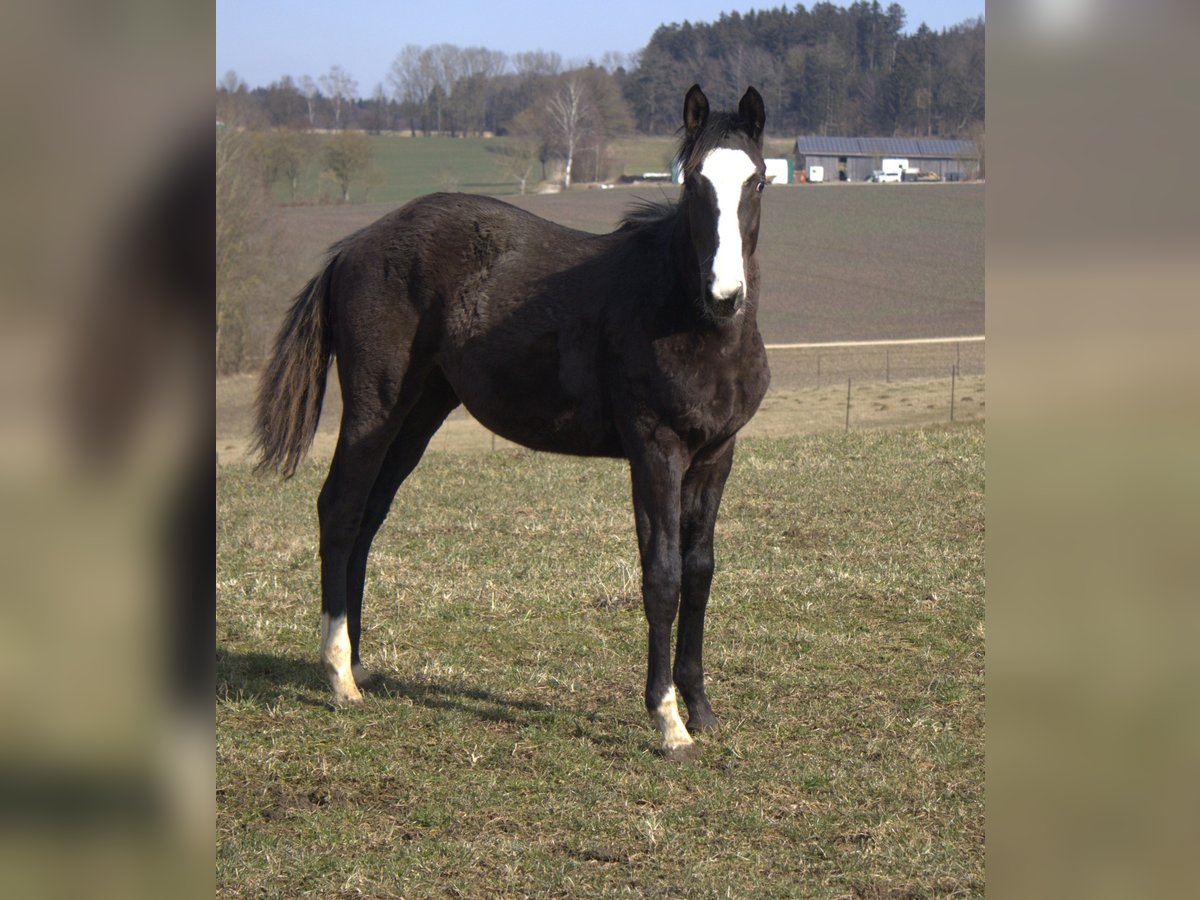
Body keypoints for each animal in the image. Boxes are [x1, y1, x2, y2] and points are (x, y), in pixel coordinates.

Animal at [258, 86, 772, 763]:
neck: (685, 319)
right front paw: (669, 722)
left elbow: (700, 571)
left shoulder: (715, 456)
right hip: (374, 408)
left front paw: (702, 710)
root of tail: (353, 248)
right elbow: (661, 576)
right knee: (340, 510)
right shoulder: (655, 453)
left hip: (418, 414)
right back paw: (340, 676)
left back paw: (361, 664)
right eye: (692, 183)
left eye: (758, 181)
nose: (724, 295)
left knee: (368, 517)